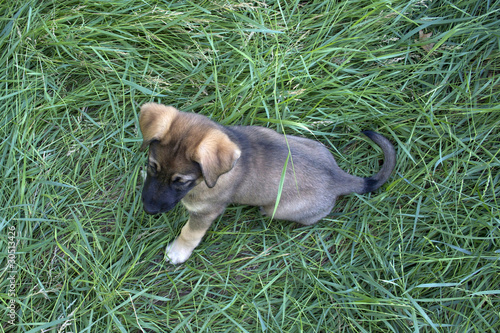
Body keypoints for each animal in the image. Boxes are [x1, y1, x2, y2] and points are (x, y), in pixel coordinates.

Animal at [138, 101, 394, 262]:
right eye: (152, 166)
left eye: (181, 181)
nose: (148, 210)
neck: (206, 181)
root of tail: (338, 176)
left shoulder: (206, 212)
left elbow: (190, 232)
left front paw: (178, 252)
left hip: (278, 209)